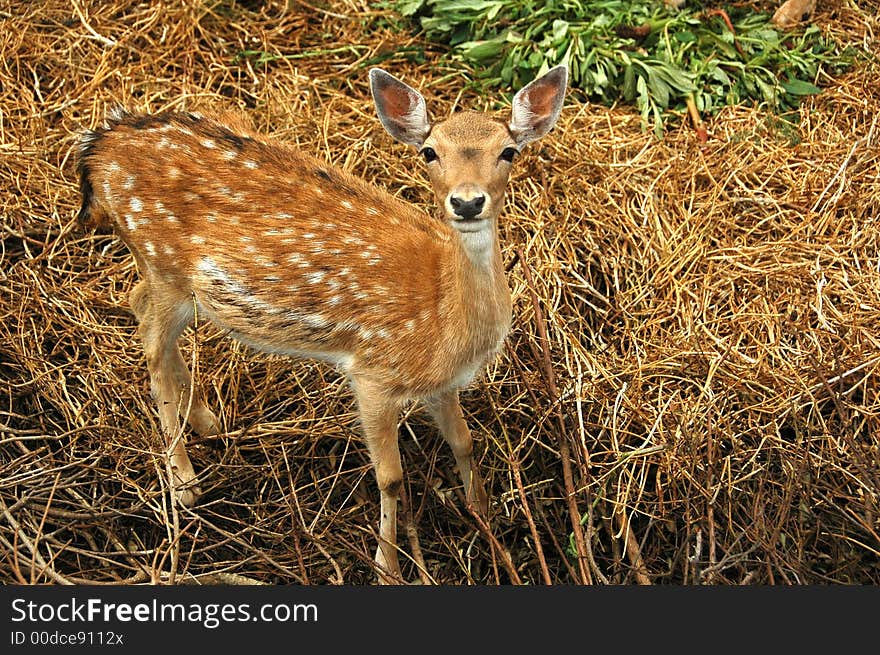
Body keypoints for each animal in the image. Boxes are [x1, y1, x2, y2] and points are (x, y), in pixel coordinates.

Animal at [77, 64, 572, 580]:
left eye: (509, 151)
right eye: (430, 151)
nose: (468, 202)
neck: (442, 317)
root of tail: (100, 143)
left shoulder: (442, 383)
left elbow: (465, 442)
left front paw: (486, 518)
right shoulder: (373, 373)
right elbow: (391, 478)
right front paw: (387, 567)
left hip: (173, 279)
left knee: (138, 305)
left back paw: (208, 421)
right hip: (163, 260)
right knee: (151, 346)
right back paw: (183, 480)